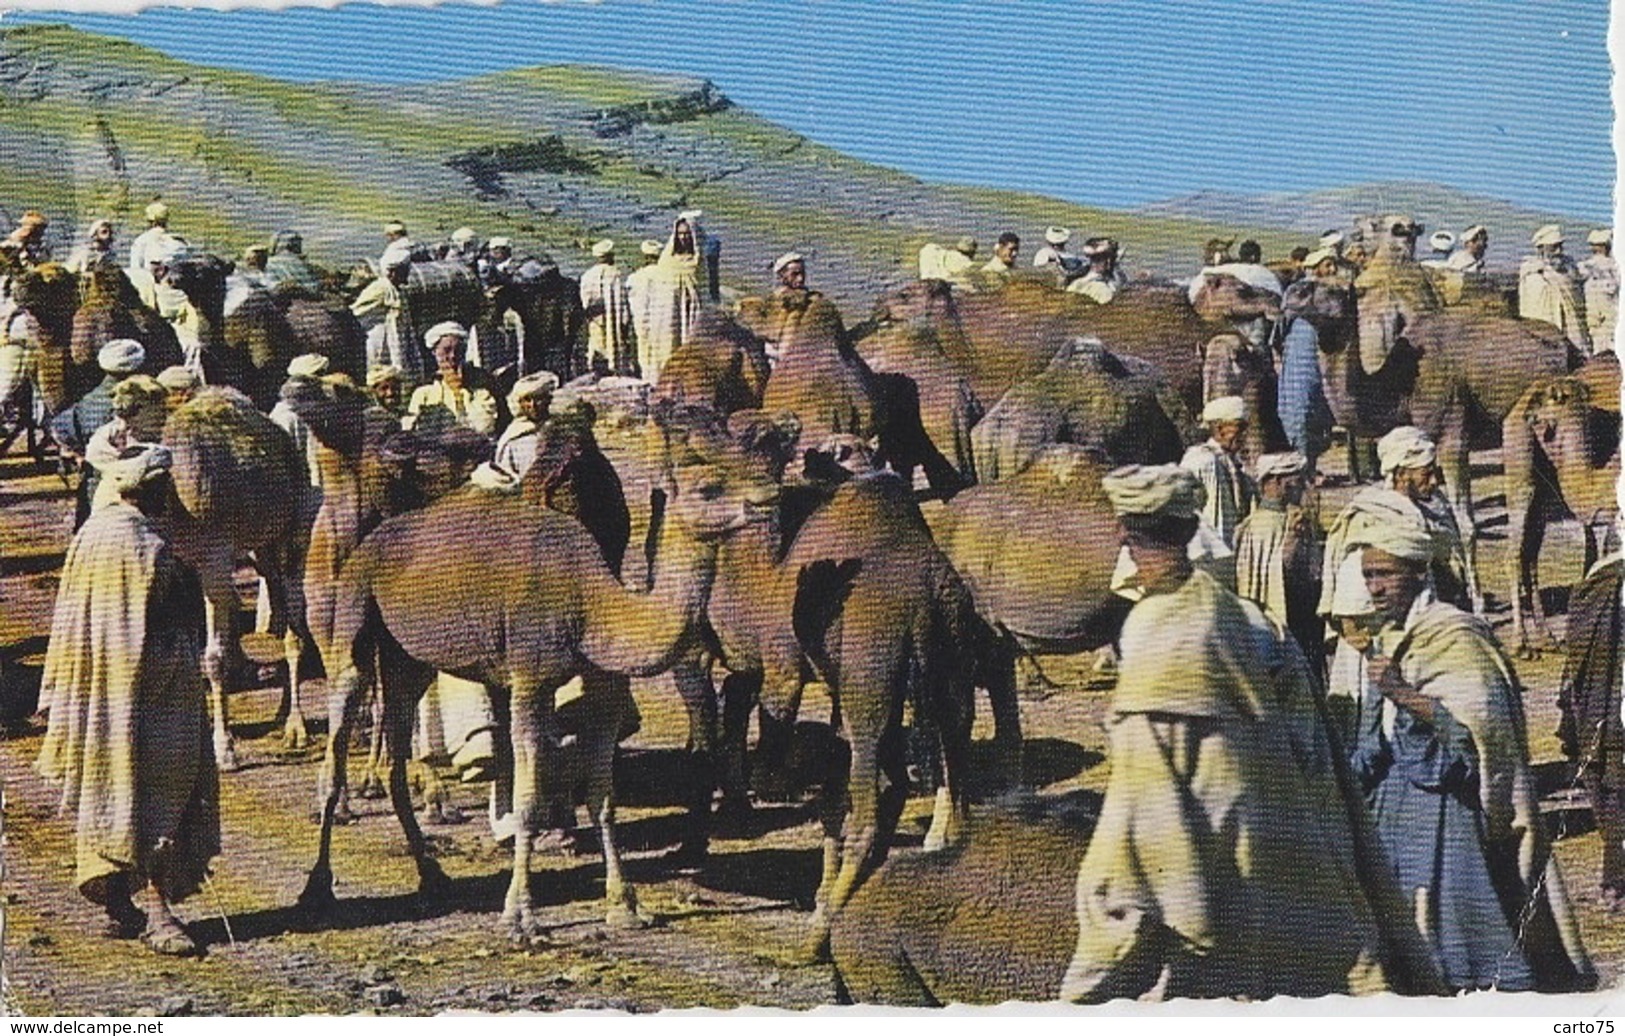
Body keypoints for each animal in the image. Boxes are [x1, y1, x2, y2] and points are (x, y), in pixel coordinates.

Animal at [161, 389, 316, 772]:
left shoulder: (214, 560)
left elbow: (214, 657)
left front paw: (225, 749)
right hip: (261, 545)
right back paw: (281, 714)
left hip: (287, 530)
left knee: (294, 625)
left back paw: (296, 728)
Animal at [305, 404, 786, 941]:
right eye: (709, 488)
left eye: (748, 465)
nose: (767, 497)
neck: (592, 607)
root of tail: (374, 541)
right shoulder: (531, 677)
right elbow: (530, 800)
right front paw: (521, 917)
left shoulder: (605, 688)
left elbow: (602, 796)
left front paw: (626, 905)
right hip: (354, 612)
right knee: (334, 751)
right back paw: (318, 892)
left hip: (409, 657)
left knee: (395, 753)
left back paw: (433, 877)